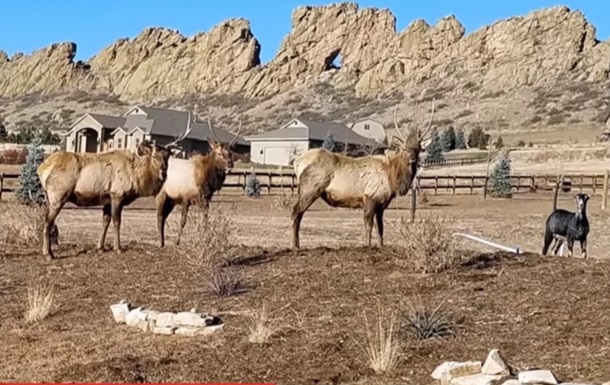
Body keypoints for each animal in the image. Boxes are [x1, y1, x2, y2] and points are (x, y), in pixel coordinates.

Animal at [36, 114, 192, 260]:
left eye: (167, 156)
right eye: (154, 156)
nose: (163, 172)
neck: (137, 178)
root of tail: (41, 169)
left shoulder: (107, 199)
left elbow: (105, 221)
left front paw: (100, 247)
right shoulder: (117, 194)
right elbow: (117, 222)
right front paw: (118, 248)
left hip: (50, 198)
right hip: (58, 196)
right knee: (47, 222)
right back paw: (48, 254)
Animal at [153, 115, 241, 246]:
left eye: (231, 153)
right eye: (219, 153)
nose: (230, 165)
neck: (205, 181)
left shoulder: (205, 200)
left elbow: (204, 222)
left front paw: (204, 240)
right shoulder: (185, 198)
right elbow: (183, 222)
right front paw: (177, 242)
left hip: (171, 200)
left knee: (163, 217)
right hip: (162, 195)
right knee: (159, 217)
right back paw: (161, 243)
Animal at [288, 101, 432, 249]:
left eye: (419, 148)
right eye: (404, 148)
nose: (412, 157)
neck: (392, 177)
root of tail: (297, 162)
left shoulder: (382, 203)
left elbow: (380, 228)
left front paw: (381, 246)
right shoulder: (370, 197)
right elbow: (368, 227)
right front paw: (367, 246)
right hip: (310, 189)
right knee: (296, 211)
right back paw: (295, 245)